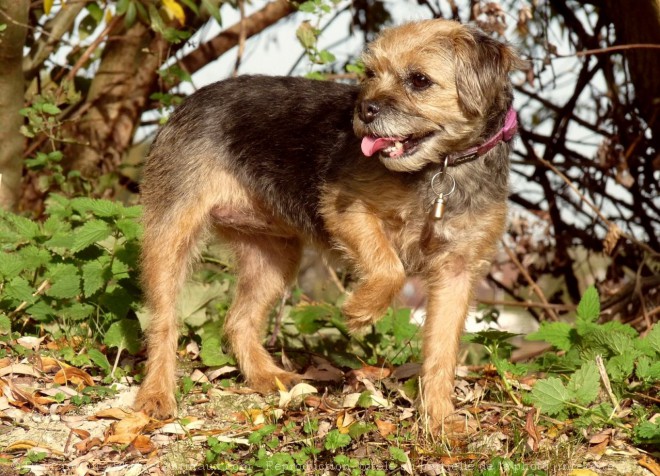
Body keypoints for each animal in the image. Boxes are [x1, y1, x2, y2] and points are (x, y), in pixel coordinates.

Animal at [137, 18, 524, 430]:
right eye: (370, 73)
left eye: (419, 80)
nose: (365, 110)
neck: (443, 168)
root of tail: (191, 99)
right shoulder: (346, 210)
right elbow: (389, 267)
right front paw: (361, 310)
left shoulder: (457, 271)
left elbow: (442, 351)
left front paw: (439, 420)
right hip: (170, 239)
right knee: (164, 322)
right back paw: (157, 393)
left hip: (273, 258)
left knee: (239, 321)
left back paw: (268, 377)